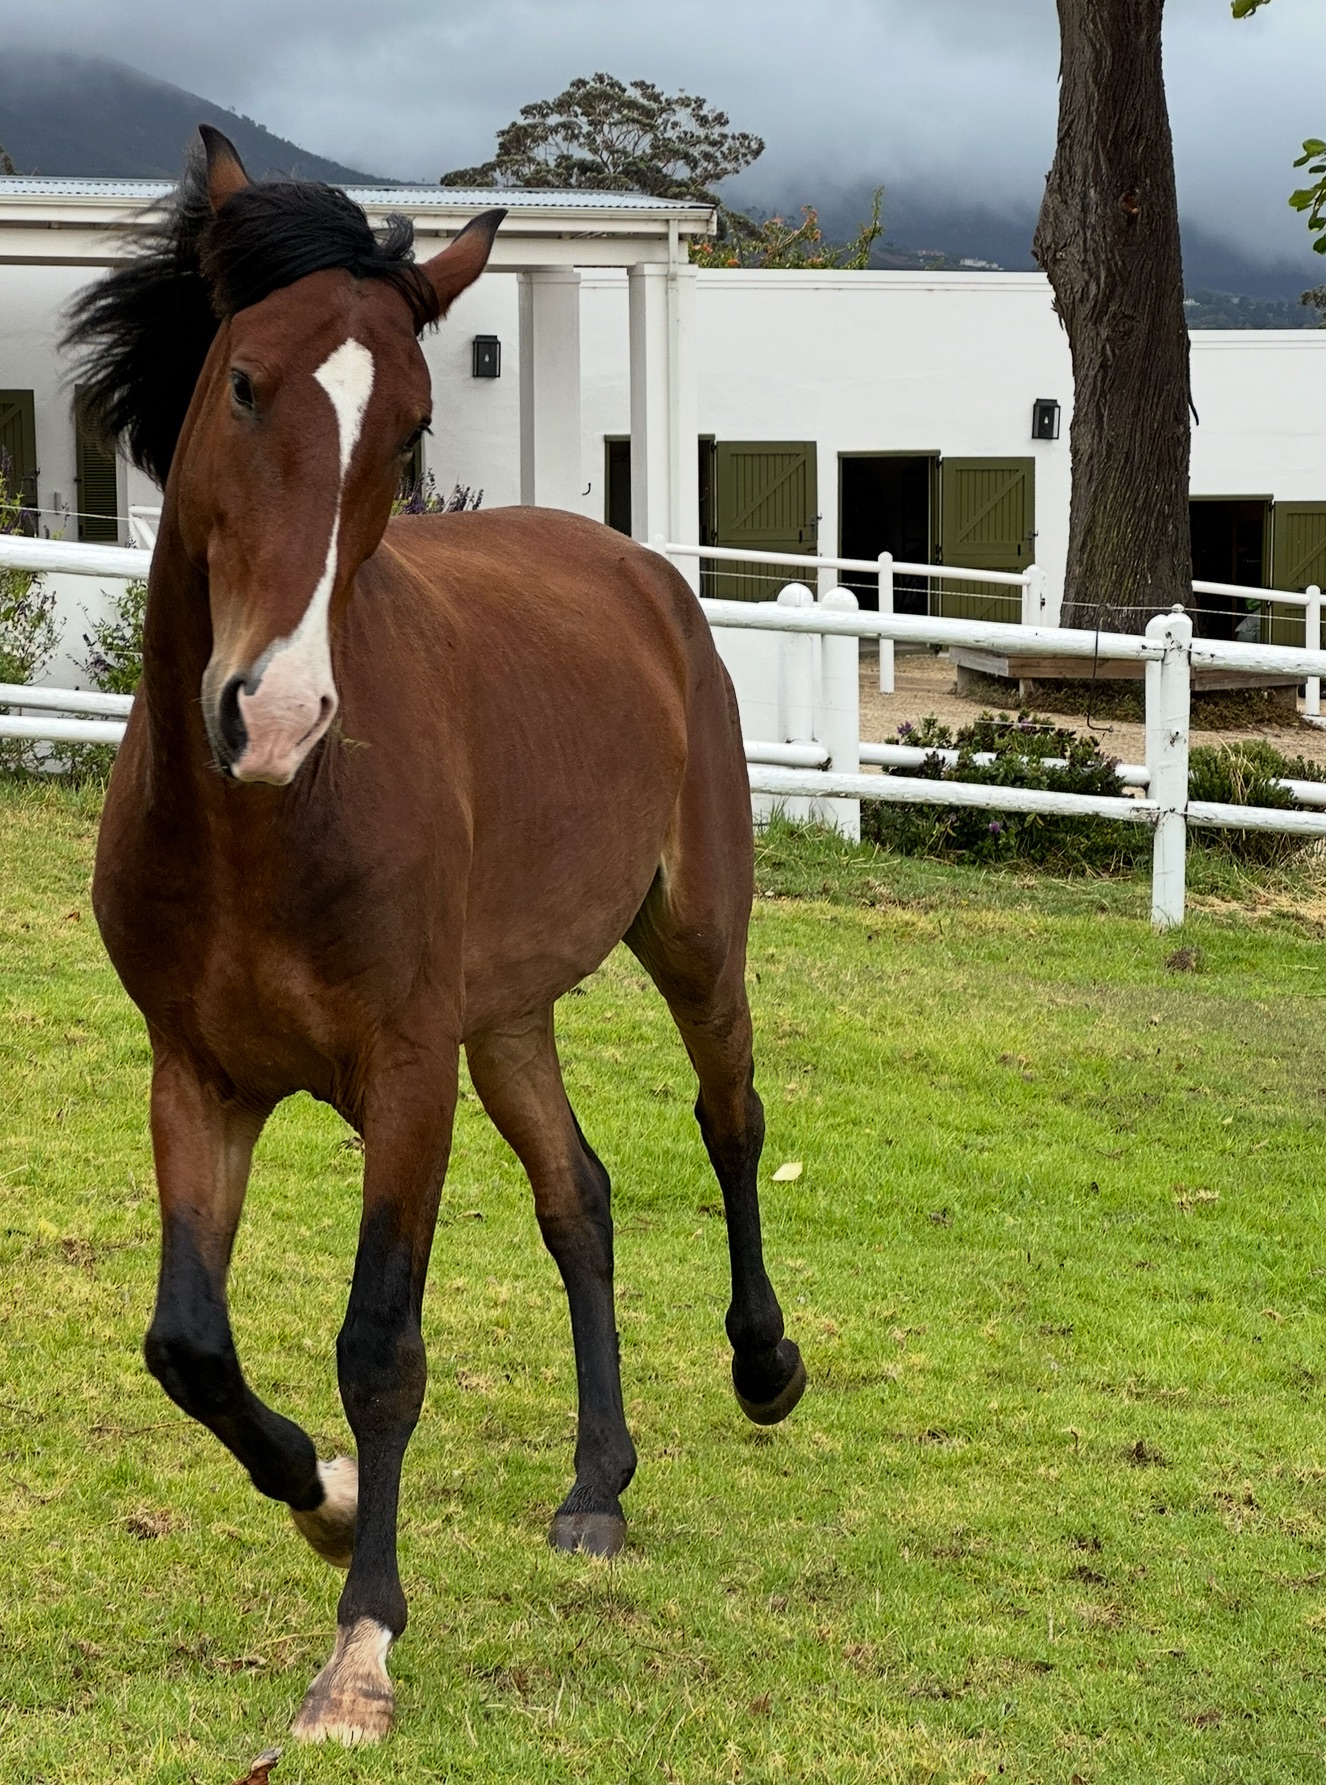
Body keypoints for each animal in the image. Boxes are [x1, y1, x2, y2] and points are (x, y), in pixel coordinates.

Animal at [65, 126, 806, 1746]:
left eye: (405, 427)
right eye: (242, 383)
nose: (274, 714)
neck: (266, 824)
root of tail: (637, 572)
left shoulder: (404, 1081)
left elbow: (380, 1347)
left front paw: (362, 1642)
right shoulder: (197, 1077)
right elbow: (188, 1345)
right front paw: (327, 1501)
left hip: (691, 944)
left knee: (730, 1121)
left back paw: (765, 1365)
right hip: (506, 1019)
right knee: (580, 1199)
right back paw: (597, 1488)